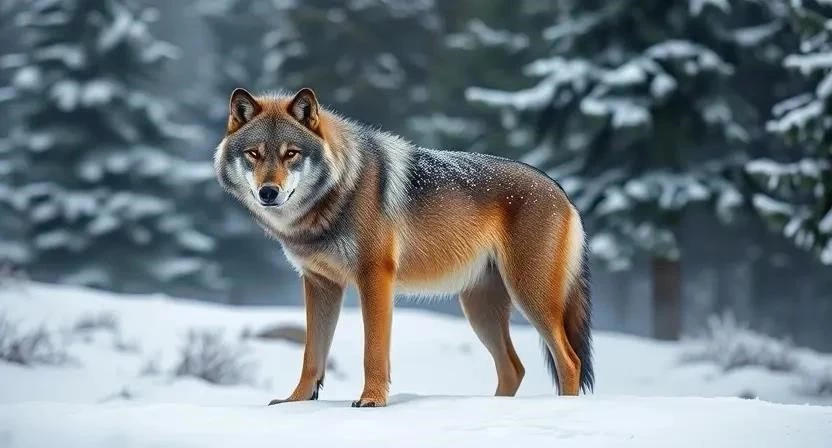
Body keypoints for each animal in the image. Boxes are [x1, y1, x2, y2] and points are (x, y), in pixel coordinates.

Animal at [214, 87, 593, 407]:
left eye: (290, 154)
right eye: (253, 154)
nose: (268, 192)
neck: (338, 193)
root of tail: (561, 190)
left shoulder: (375, 278)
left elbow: (373, 350)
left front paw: (371, 401)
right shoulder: (320, 284)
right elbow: (311, 355)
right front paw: (295, 403)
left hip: (530, 297)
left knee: (570, 361)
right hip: (479, 309)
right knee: (514, 368)